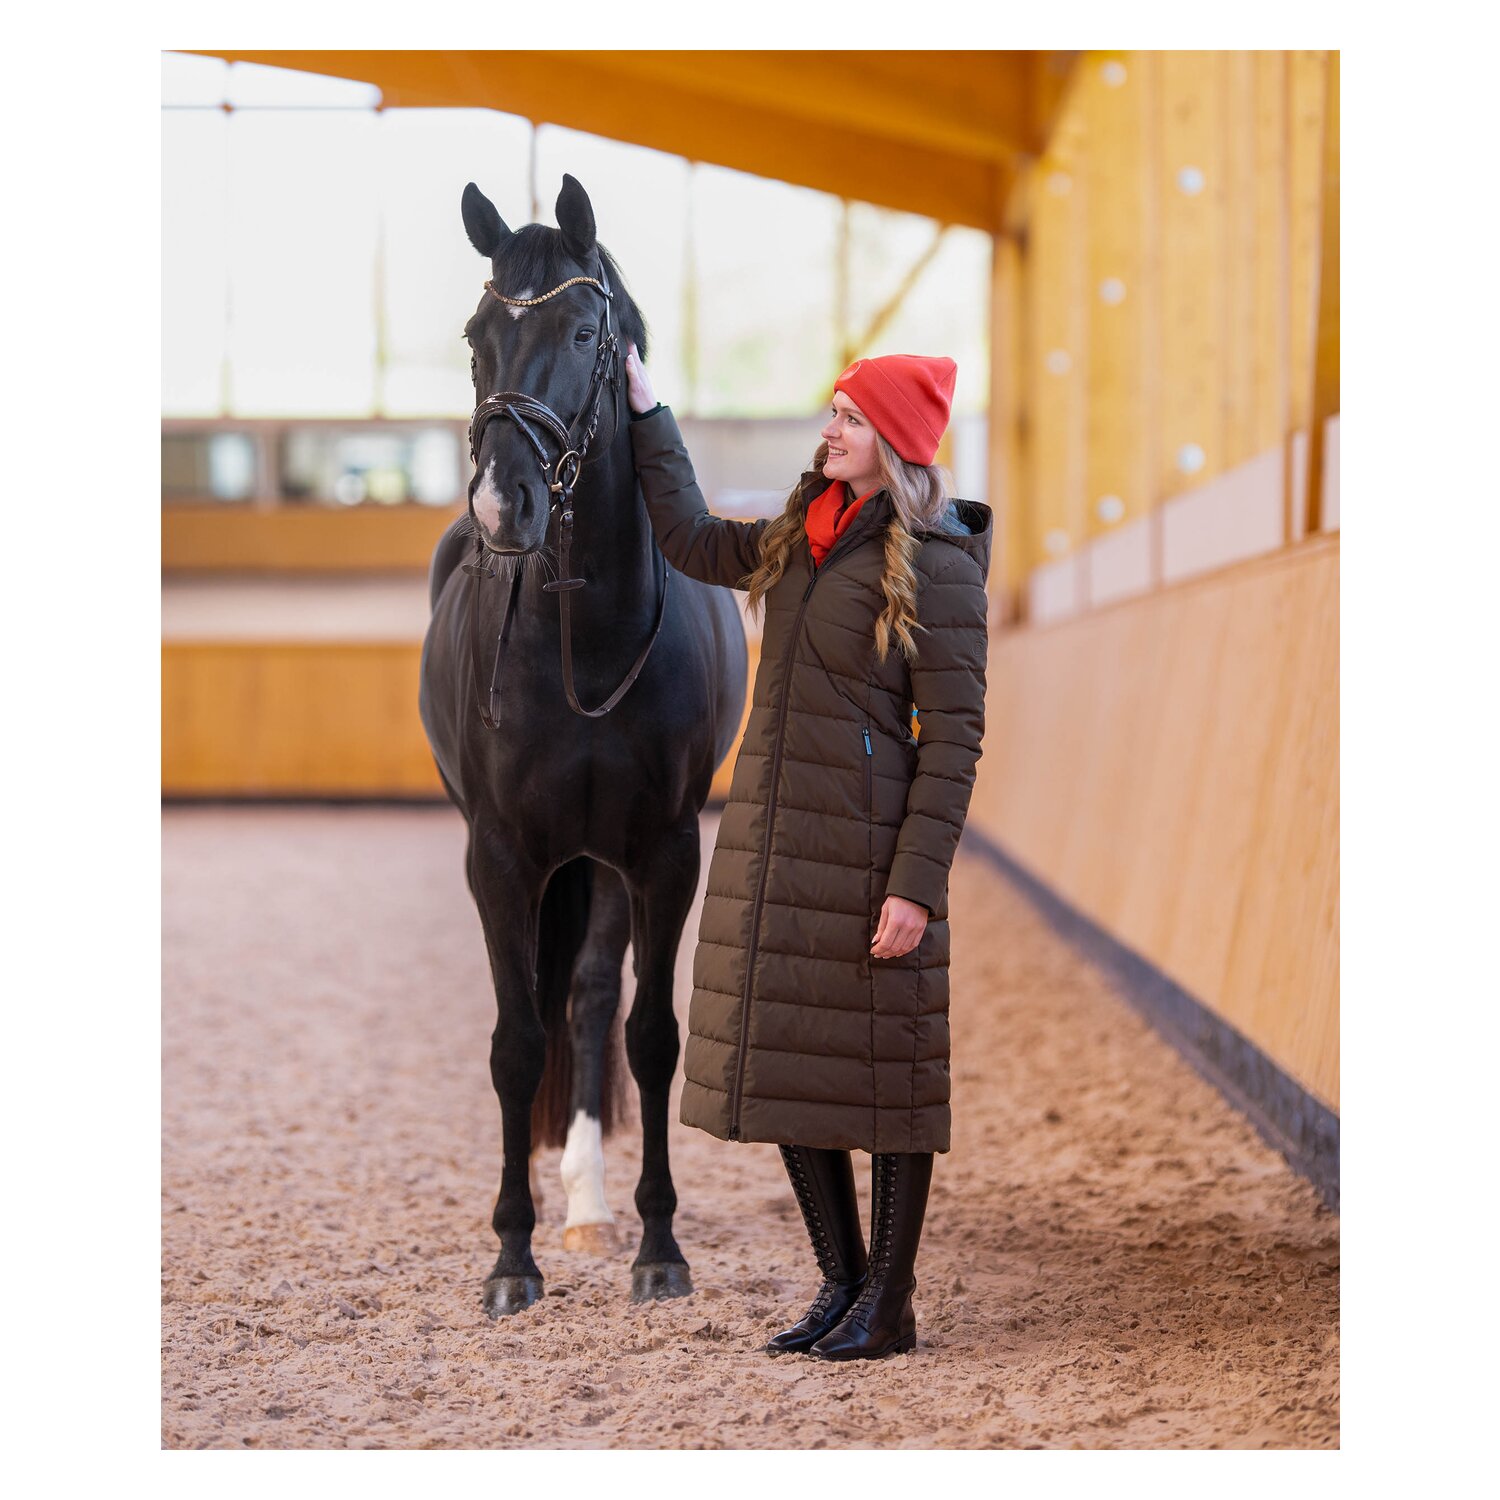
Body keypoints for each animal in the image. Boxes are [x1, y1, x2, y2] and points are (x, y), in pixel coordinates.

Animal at [419, 173, 748, 1318]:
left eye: (582, 329)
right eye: (476, 336)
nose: (501, 504)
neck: (587, 635)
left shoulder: (663, 851)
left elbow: (648, 1036)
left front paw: (659, 1245)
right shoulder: (499, 857)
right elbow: (517, 1046)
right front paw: (510, 1259)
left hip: (602, 860)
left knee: (595, 996)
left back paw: (595, 1207)